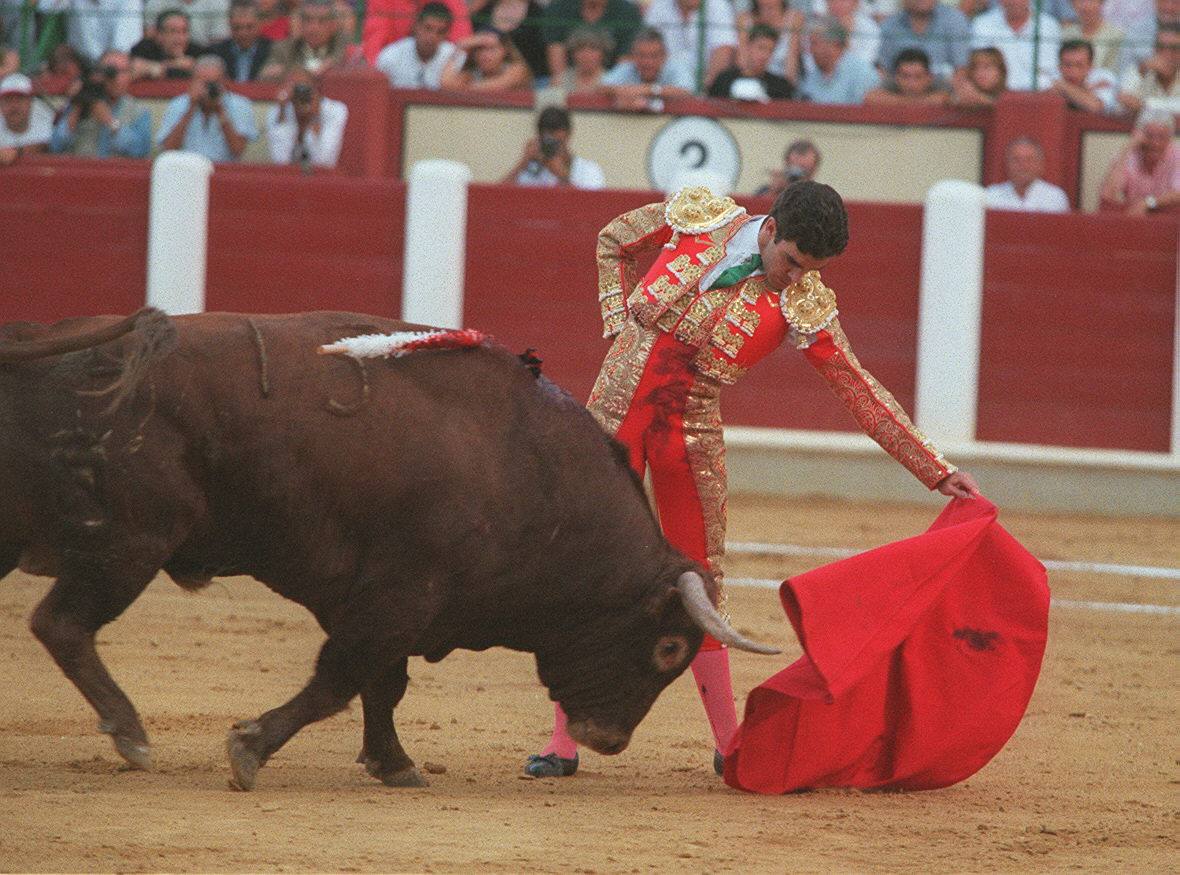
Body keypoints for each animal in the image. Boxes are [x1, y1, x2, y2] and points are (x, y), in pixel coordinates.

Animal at [0, 311, 774, 792]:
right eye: (668, 648)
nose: (608, 738)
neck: (529, 473)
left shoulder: (389, 602)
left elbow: (382, 684)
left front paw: (392, 762)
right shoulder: (398, 596)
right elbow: (339, 679)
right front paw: (249, 748)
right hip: (132, 541)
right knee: (62, 624)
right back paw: (132, 734)